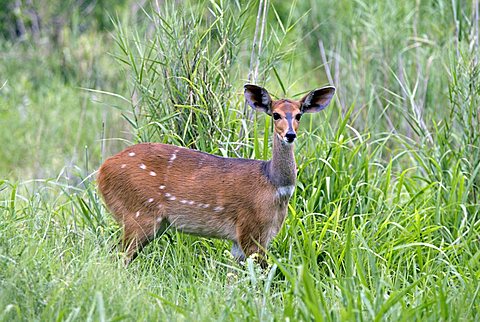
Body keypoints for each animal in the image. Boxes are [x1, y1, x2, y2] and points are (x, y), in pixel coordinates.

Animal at [98, 84, 334, 266]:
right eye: (276, 114)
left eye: (299, 115)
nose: (290, 134)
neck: (274, 185)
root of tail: (102, 171)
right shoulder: (251, 230)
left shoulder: (245, 239)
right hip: (139, 215)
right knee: (116, 257)